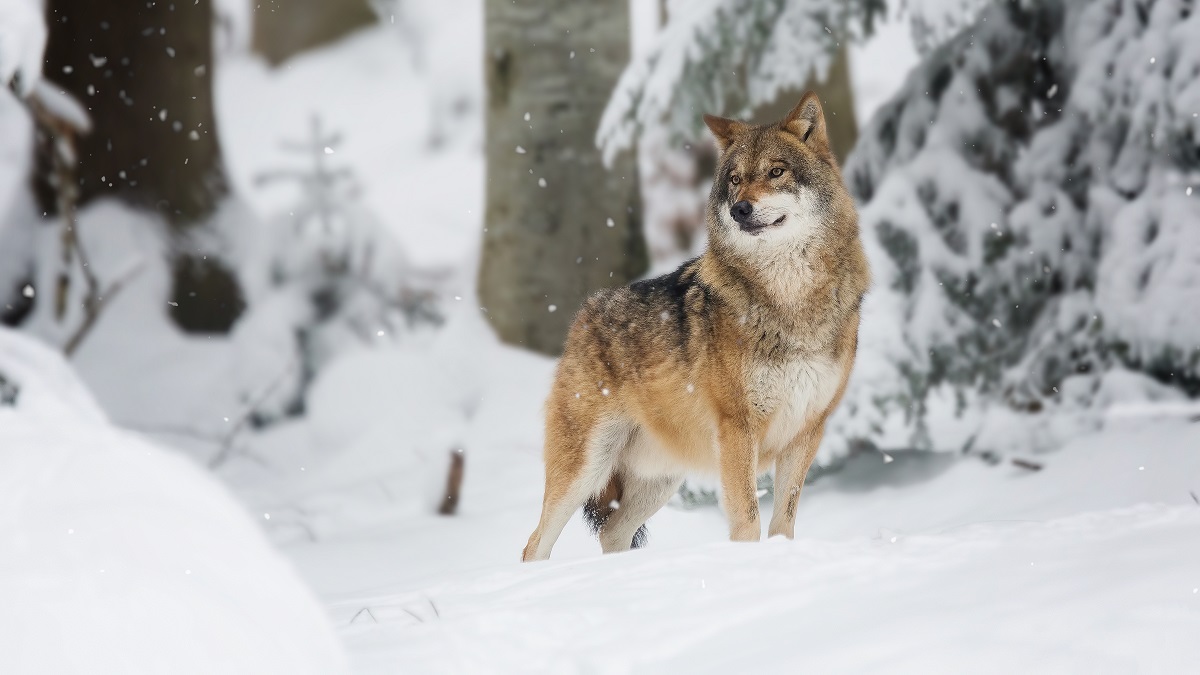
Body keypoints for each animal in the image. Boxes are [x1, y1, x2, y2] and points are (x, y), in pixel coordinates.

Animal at [520, 91, 868, 559]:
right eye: (735, 180)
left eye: (776, 172)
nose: (740, 209)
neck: (791, 300)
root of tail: (584, 313)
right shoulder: (738, 428)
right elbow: (748, 520)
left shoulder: (808, 431)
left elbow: (784, 521)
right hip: (586, 468)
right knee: (535, 543)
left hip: (661, 478)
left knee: (612, 532)